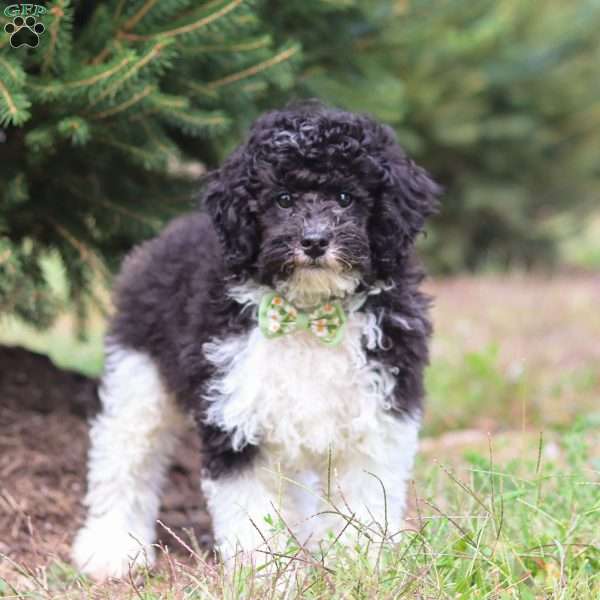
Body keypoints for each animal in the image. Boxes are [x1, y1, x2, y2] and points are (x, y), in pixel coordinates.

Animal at [71, 101, 440, 580]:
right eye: (282, 199)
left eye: (345, 197)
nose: (314, 241)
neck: (307, 314)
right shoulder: (236, 417)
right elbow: (251, 511)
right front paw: (266, 574)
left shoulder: (380, 410)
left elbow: (365, 498)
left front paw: (361, 567)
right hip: (140, 375)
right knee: (125, 456)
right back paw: (110, 547)